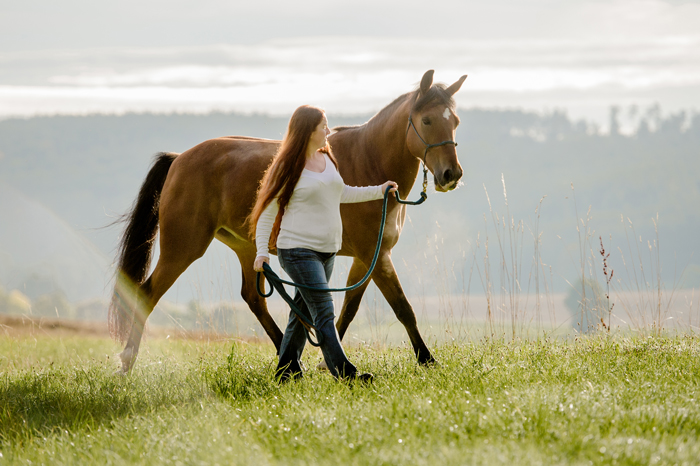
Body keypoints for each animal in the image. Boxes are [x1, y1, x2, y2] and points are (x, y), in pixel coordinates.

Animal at [112, 69, 468, 374]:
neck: (368, 161)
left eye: (455, 121)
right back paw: (126, 363)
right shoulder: (377, 255)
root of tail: (178, 159)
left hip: (247, 248)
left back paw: (289, 362)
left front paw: (326, 360)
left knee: (254, 298)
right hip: (182, 249)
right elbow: (402, 306)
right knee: (146, 294)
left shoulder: (368, 257)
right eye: (426, 119)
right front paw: (427, 359)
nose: (451, 174)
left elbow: (349, 307)